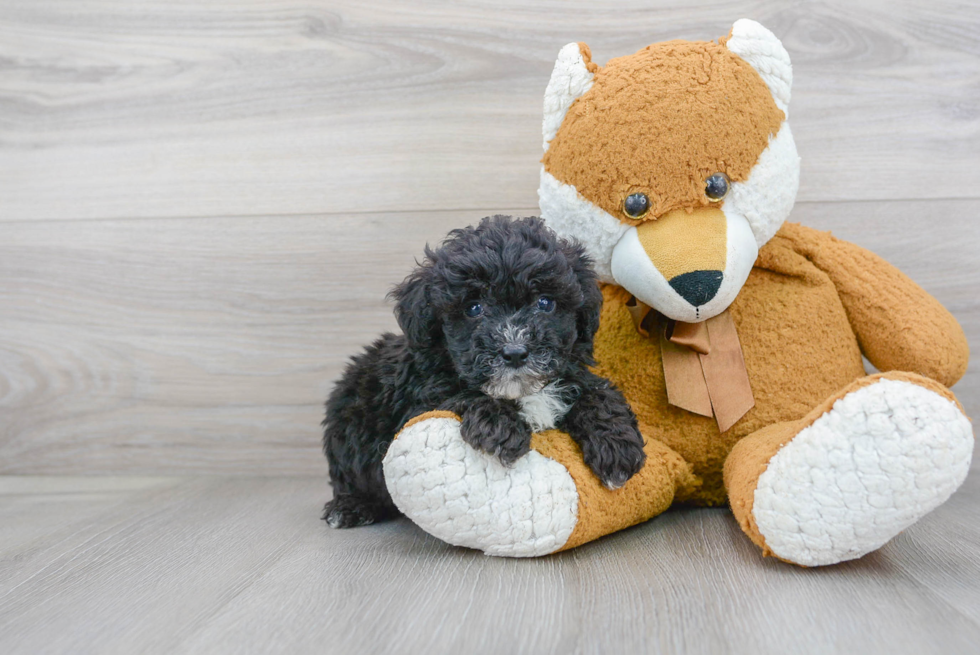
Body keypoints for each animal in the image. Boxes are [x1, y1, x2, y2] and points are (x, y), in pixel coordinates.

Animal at [322, 218, 648, 532]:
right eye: (473, 308)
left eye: (545, 303)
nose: (515, 352)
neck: (523, 392)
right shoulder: (418, 399)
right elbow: (461, 394)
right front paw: (499, 427)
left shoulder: (572, 372)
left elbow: (598, 393)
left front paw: (616, 446)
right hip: (347, 425)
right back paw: (350, 507)